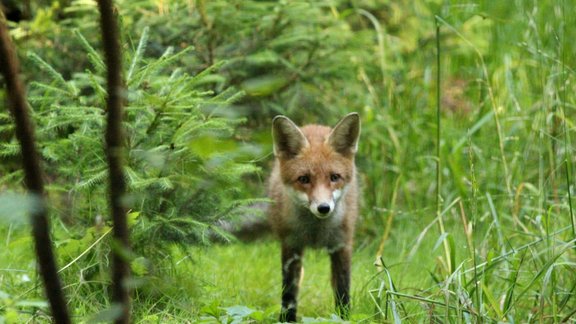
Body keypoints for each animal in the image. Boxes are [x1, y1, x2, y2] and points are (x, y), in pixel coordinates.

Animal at [266, 111, 360, 322]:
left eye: (334, 177)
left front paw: (344, 318)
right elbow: (289, 292)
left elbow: (343, 289)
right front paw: (286, 319)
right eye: (304, 179)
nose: (323, 208)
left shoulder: (342, 245)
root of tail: (314, 126)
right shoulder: (291, 245)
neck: (316, 232)